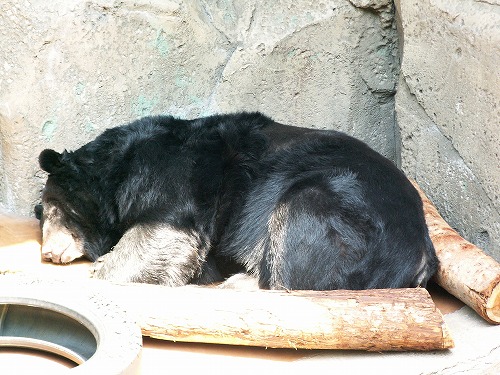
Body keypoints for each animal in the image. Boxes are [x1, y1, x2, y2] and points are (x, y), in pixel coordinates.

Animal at [37, 112, 438, 290]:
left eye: (54, 209)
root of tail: (420, 254)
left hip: (342, 213)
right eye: (43, 215)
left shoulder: (177, 174)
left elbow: (164, 236)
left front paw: (105, 269)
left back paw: (243, 282)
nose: (48, 252)